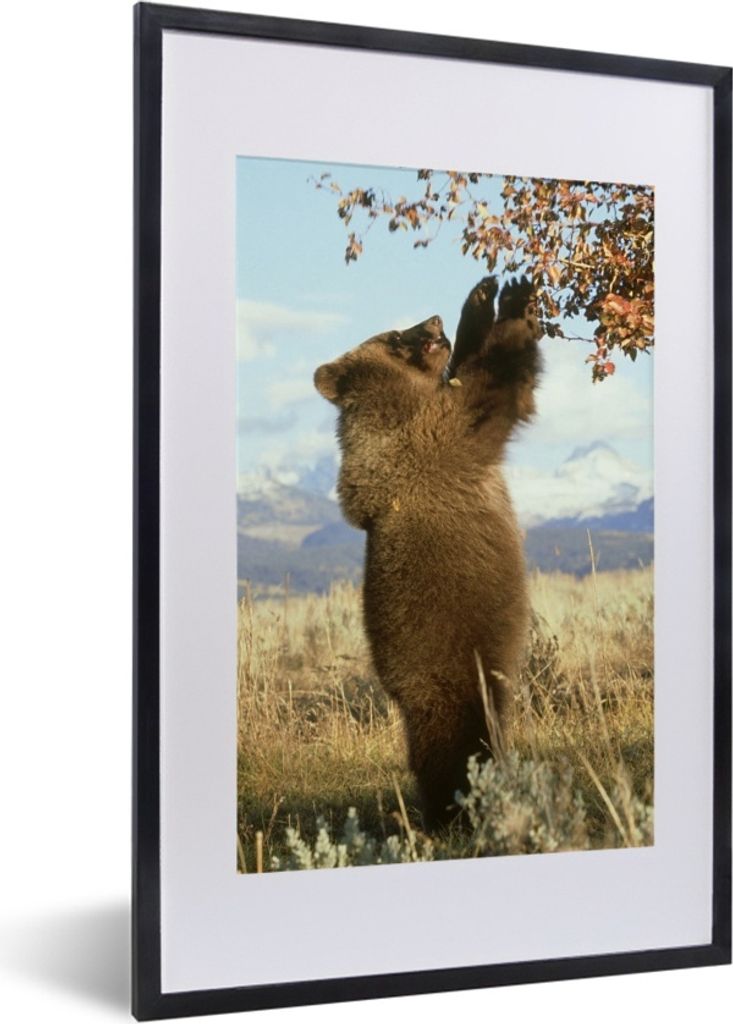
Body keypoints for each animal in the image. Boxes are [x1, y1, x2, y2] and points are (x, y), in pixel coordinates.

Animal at [314, 277, 542, 831]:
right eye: (396, 334)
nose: (433, 319)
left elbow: (470, 373)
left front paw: (481, 300)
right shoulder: (433, 437)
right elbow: (491, 389)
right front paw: (516, 305)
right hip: (443, 667)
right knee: (455, 742)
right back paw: (458, 809)